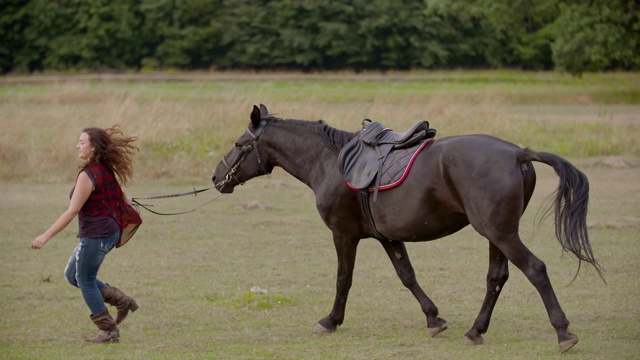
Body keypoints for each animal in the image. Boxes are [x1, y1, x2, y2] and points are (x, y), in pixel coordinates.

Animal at [212, 105, 604, 352]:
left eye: (238, 144)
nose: (216, 178)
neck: (330, 162)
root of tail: (518, 153)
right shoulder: (388, 237)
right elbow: (407, 276)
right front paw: (434, 319)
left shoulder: (344, 235)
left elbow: (343, 279)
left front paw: (331, 321)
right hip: (497, 234)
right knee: (497, 278)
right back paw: (475, 331)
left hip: (502, 234)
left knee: (535, 269)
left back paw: (563, 332)